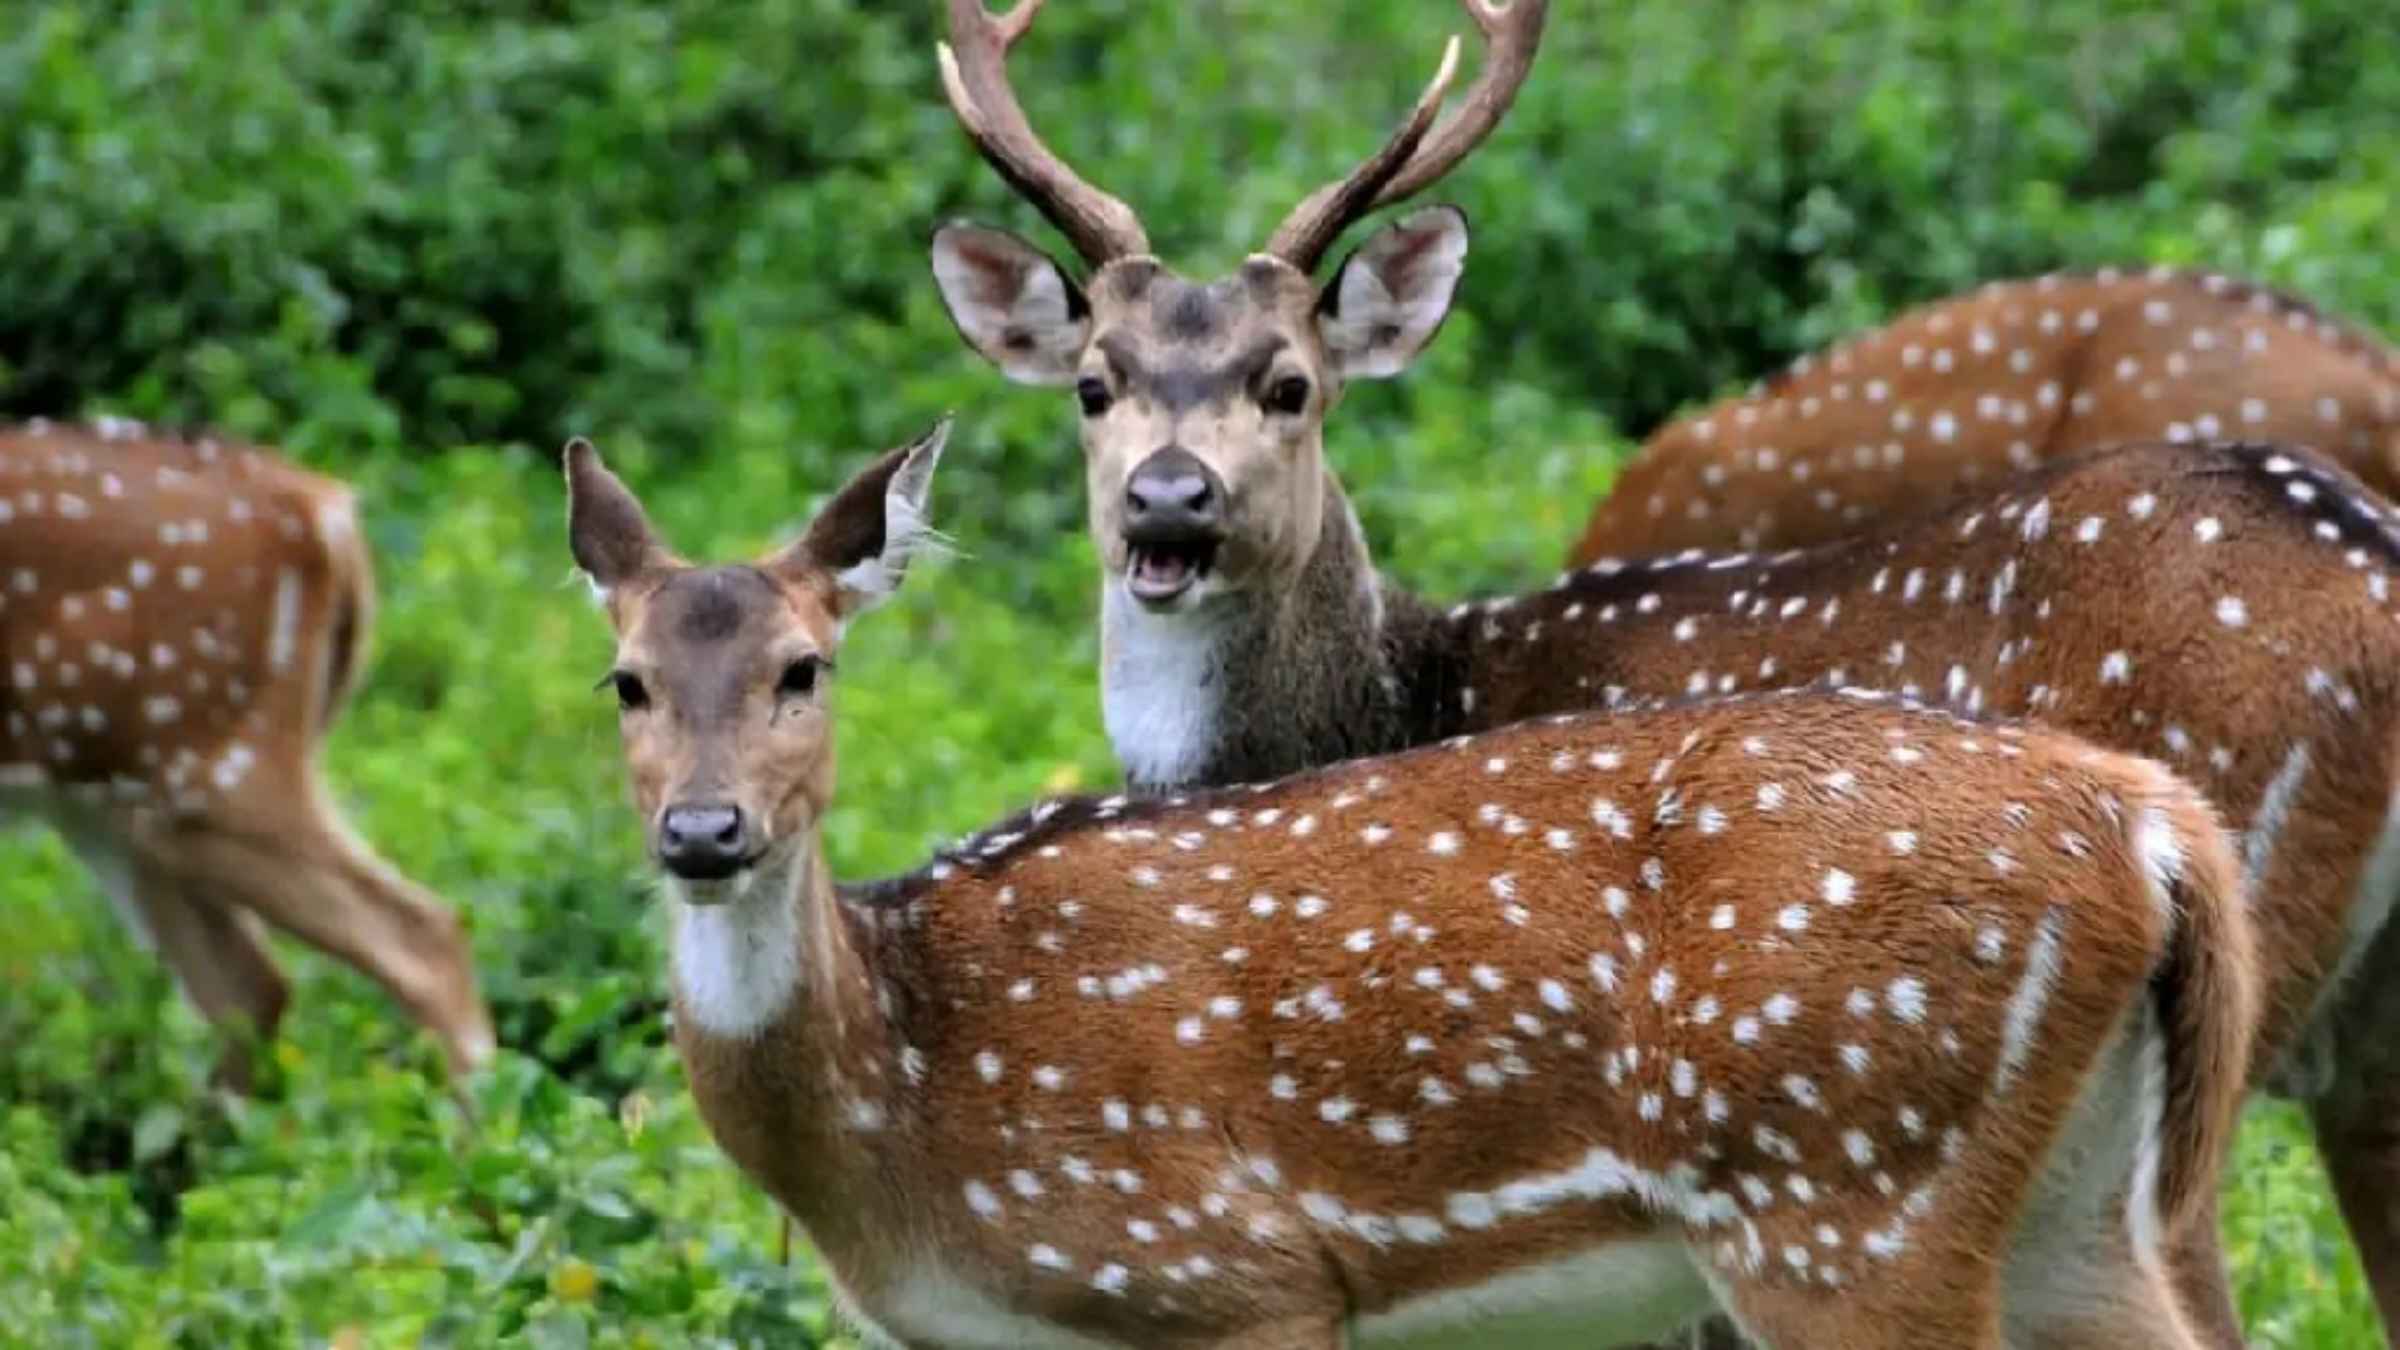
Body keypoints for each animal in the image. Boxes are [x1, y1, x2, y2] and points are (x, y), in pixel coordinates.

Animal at [564, 420, 2259, 1350]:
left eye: (806, 667)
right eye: (624, 681)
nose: (705, 832)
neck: (901, 1106)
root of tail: (2151, 824)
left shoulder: (1229, 1268)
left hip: (1845, 1187)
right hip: (2071, 1197)